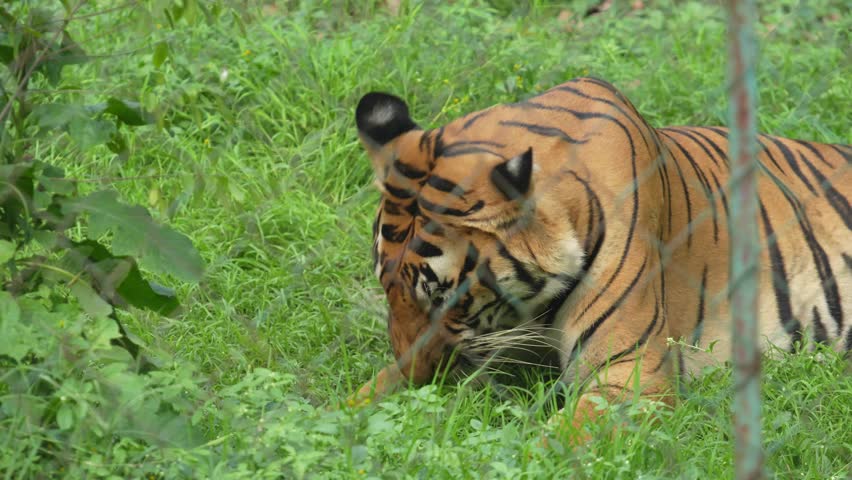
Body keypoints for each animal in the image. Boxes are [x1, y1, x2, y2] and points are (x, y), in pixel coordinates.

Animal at [349, 76, 851, 438]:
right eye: (385, 289)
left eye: (443, 298)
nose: (418, 371)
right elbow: (370, 388)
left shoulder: (627, 375)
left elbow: (554, 440)